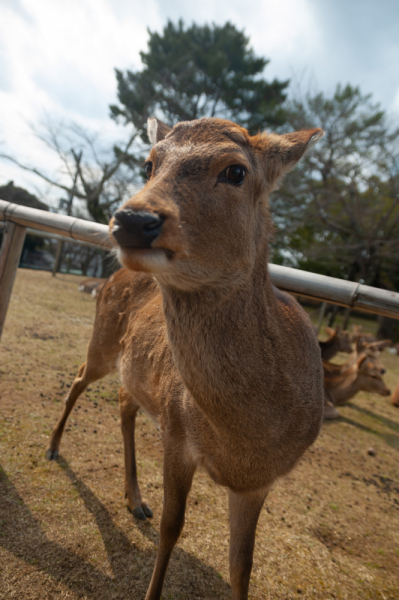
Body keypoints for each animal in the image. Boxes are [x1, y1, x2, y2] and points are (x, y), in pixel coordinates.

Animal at [45, 118, 324, 600]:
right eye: (149, 163)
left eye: (236, 171)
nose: (133, 219)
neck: (243, 441)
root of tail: (110, 278)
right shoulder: (177, 434)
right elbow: (172, 529)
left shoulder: (260, 482)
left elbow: (242, 565)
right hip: (103, 340)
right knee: (80, 377)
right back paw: (53, 447)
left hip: (137, 373)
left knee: (124, 401)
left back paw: (135, 499)